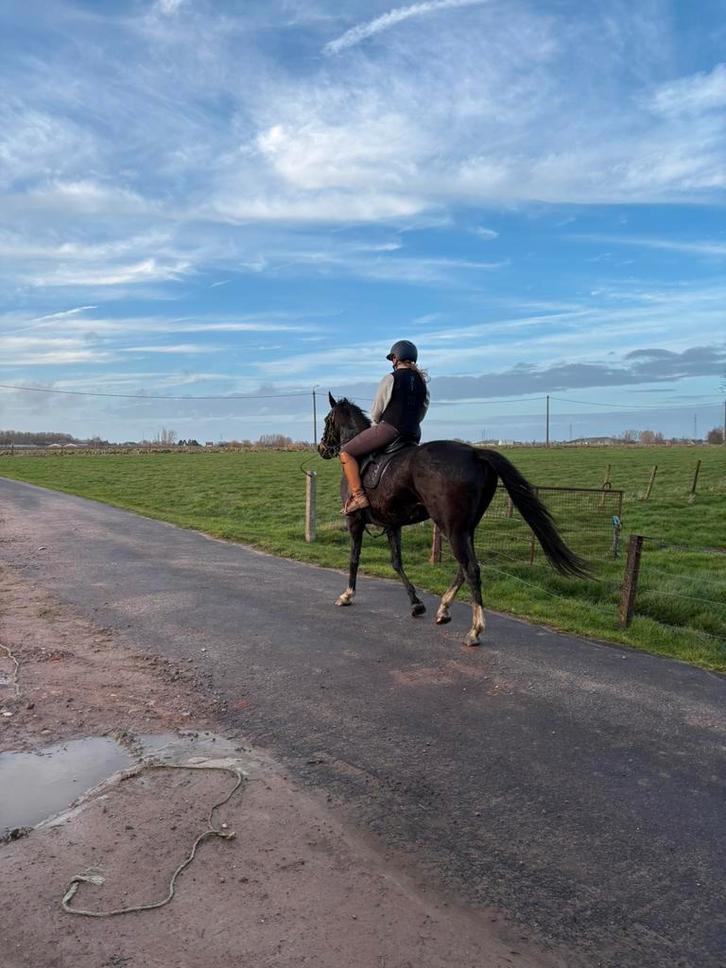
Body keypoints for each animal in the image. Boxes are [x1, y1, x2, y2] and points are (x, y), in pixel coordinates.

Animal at [318, 394, 589, 646]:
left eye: (327, 419)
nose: (321, 448)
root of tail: (475, 452)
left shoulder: (355, 521)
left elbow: (354, 558)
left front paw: (347, 595)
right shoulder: (393, 525)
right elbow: (396, 563)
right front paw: (416, 604)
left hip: (451, 527)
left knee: (470, 568)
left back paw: (474, 630)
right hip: (465, 528)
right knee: (465, 567)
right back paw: (444, 609)